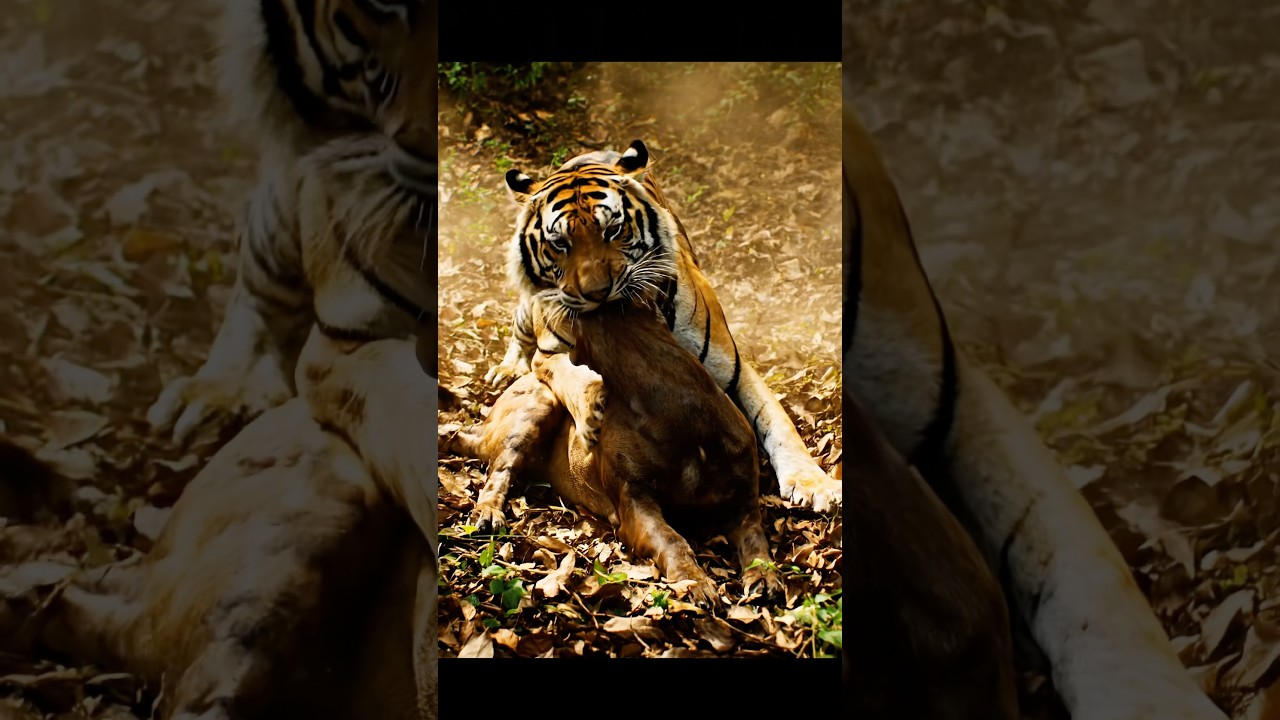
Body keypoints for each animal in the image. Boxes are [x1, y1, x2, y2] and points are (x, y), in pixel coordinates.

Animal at [486, 140, 842, 514]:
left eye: (613, 230)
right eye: (559, 244)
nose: (598, 292)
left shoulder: (733, 370)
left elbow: (778, 422)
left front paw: (814, 483)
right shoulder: (548, 354)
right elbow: (567, 374)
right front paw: (591, 408)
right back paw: (506, 369)